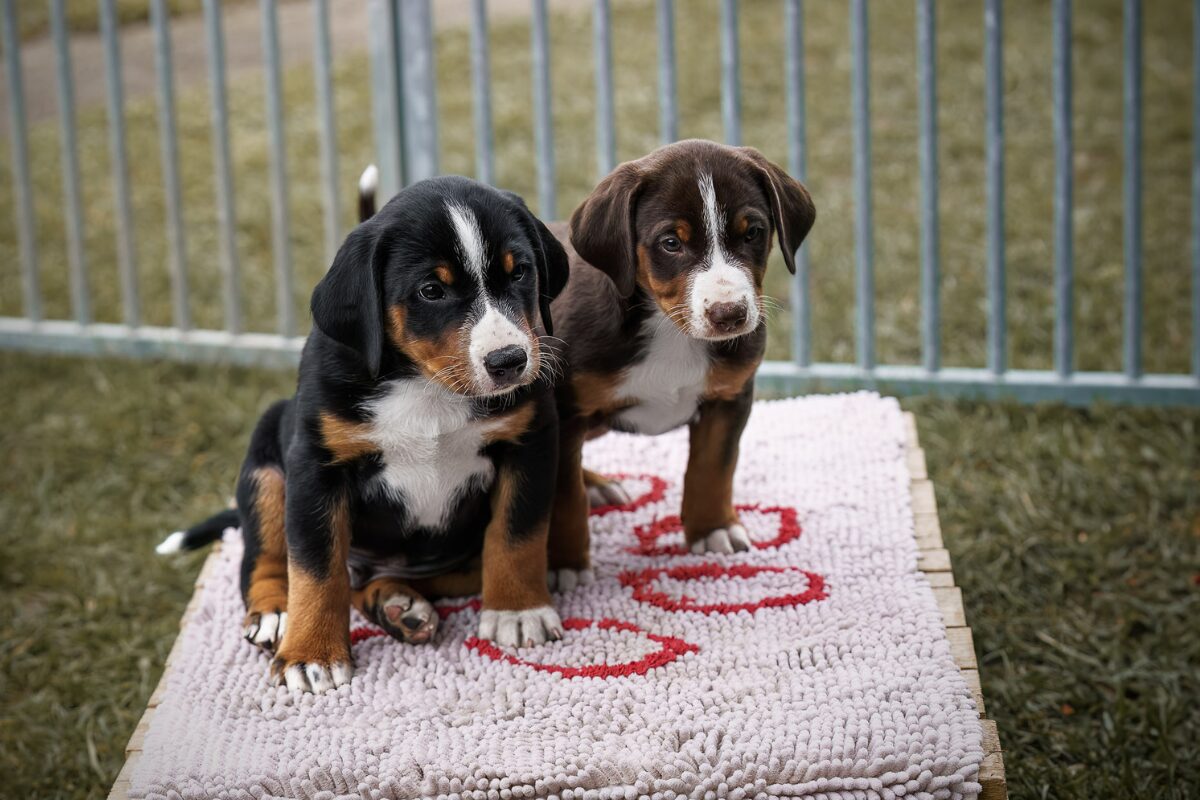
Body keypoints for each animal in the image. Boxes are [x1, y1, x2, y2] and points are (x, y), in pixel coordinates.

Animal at [164, 175, 571, 695]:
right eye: (431, 290)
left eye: (520, 272)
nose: (509, 361)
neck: (427, 386)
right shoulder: (316, 466)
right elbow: (316, 568)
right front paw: (311, 654)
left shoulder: (530, 440)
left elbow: (516, 534)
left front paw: (518, 612)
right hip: (267, 459)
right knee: (269, 557)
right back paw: (278, 614)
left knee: (385, 582)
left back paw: (398, 606)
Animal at [547, 139, 816, 587]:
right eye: (671, 243)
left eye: (753, 232)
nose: (729, 314)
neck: (671, 330)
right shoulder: (565, 410)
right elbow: (564, 497)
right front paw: (565, 563)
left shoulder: (729, 398)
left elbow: (712, 468)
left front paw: (713, 530)